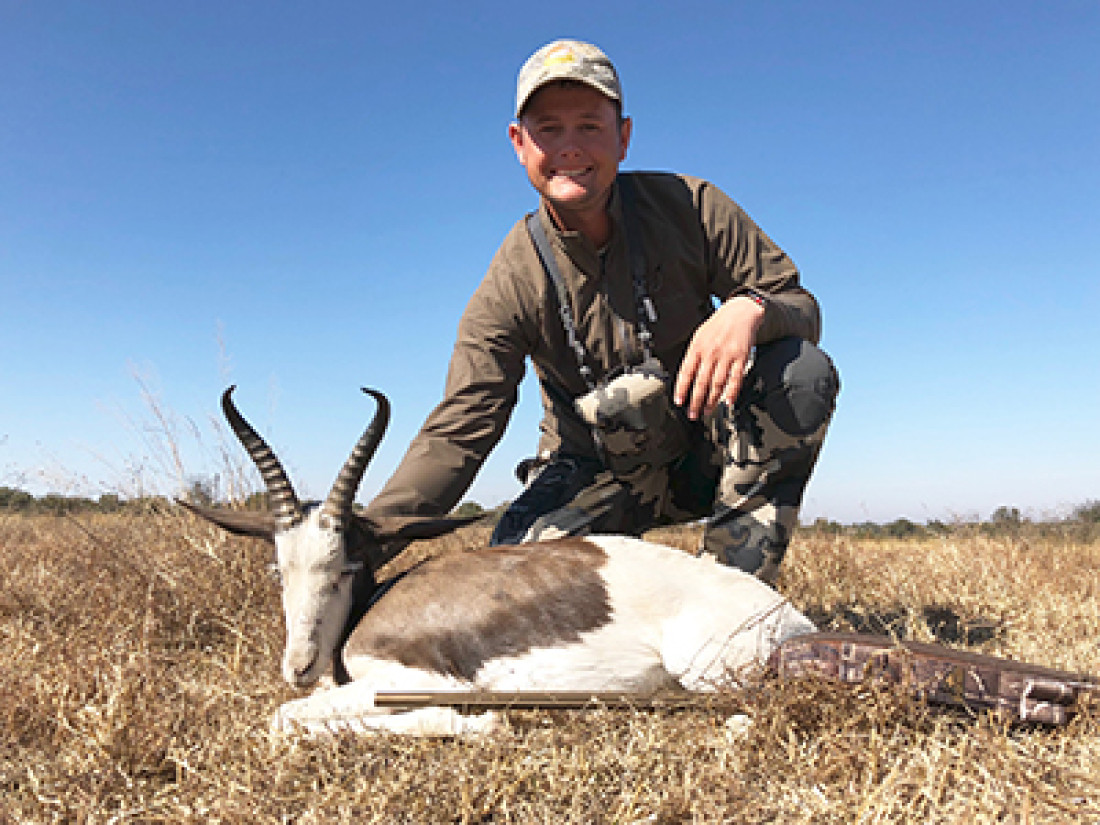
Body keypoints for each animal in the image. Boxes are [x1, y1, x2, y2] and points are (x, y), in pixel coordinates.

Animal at [182, 391, 818, 739]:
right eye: (279, 570)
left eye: (345, 567)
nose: (300, 666)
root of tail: (792, 621)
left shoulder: (412, 682)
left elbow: (286, 717)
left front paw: (481, 724)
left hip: (706, 674)